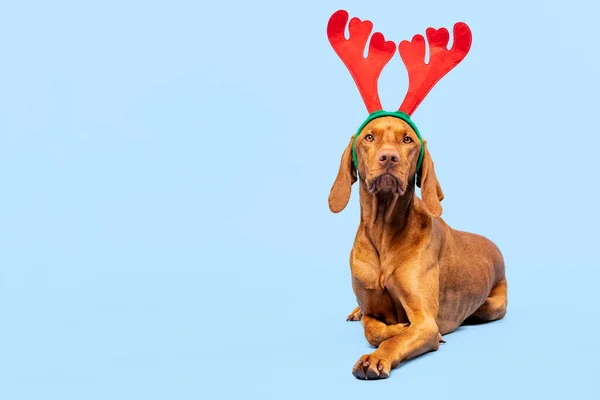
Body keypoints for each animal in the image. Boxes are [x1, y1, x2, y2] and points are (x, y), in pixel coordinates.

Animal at [328, 116, 506, 382]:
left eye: (407, 139)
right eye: (369, 137)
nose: (389, 157)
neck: (384, 232)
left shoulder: (425, 321)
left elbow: (398, 337)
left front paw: (377, 357)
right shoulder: (372, 310)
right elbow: (372, 330)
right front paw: (392, 327)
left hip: (493, 305)